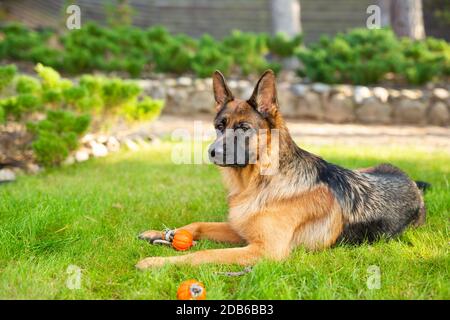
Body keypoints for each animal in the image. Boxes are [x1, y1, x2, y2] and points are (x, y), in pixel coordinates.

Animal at [135, 70, 428, 270]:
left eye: (243, 128)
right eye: (219, 126)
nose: (212, 152)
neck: (259, 182)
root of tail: (413, 183)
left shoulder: (264, 250)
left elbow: (203, 254)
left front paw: (156, 263)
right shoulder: (241, 231)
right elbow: (198, 224)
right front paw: (162, 234)